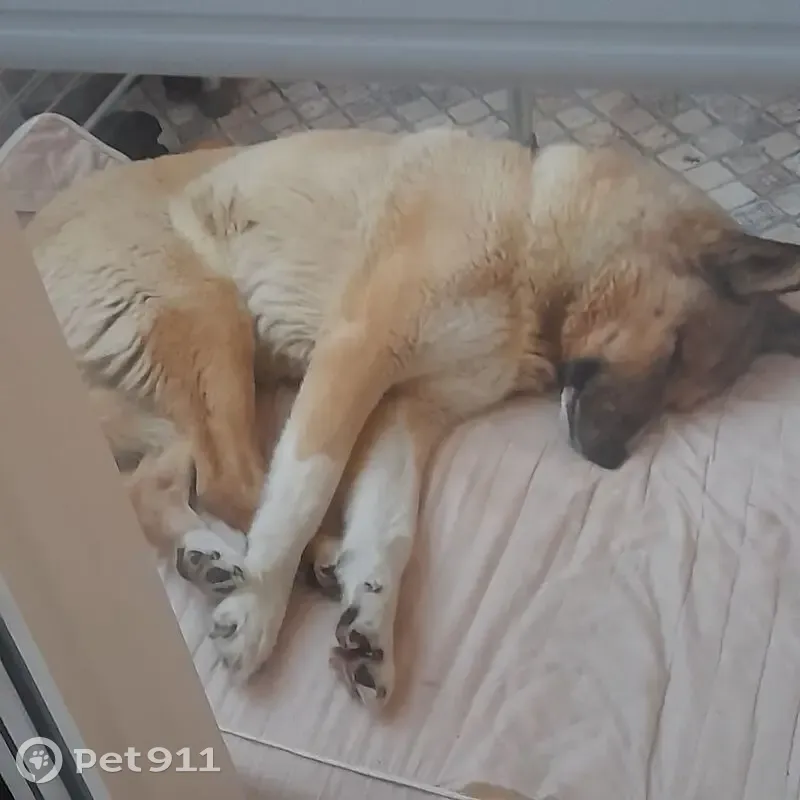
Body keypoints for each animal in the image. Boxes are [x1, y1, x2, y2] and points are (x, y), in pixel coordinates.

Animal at [26, 128, 800, 706]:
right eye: (672, 356)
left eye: (681, 395)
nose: (607, 460)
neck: (534, 230)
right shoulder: (359, 351)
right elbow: (303, 486)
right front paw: (257, 611)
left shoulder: (405, 411)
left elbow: (390, 528)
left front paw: (371, 621)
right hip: (208, 319)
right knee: (230, 478)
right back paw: (278, 566)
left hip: (160, 400)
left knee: (149, 484)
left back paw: (216, 556)